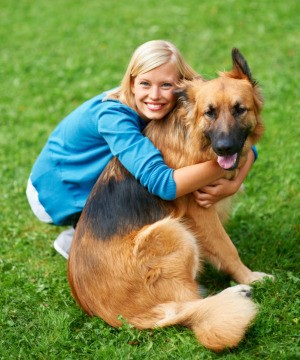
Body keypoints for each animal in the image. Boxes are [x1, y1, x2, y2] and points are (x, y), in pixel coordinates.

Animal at [67, 49, 272, 350]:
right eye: (209, 112)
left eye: (239, 109)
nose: (224, 148)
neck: (194, 136)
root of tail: (119, 318)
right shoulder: (200, 212)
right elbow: (227, 247)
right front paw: (249, 276)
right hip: (171, 231)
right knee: (188, 304)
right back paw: (236, 292)